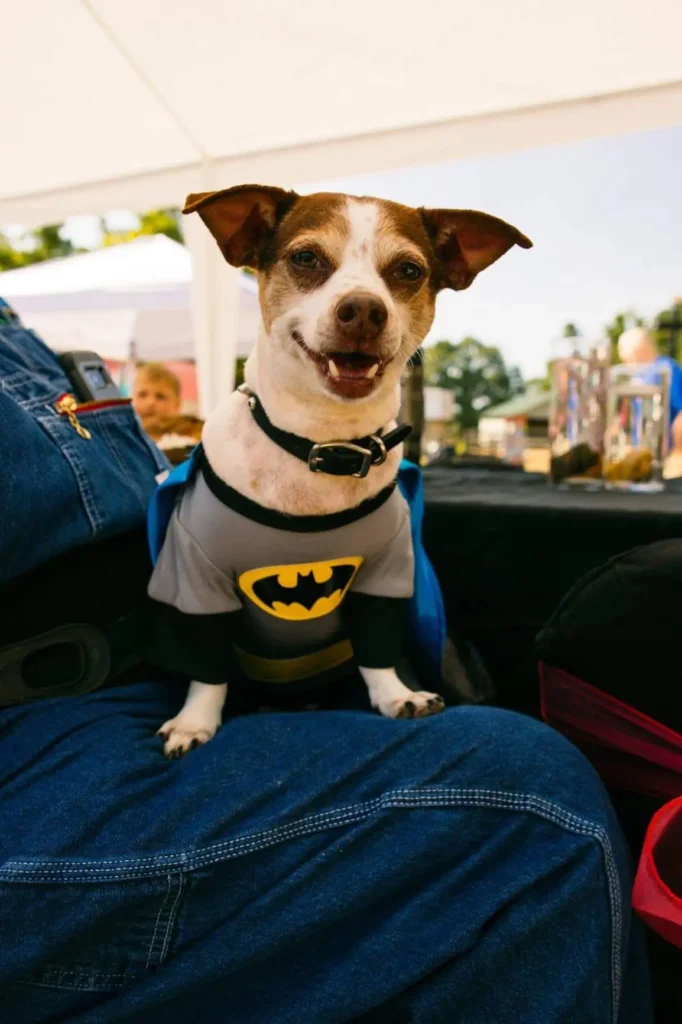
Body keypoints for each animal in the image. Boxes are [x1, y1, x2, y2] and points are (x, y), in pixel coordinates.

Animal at [148, 188, 532, 757]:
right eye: (306, 258)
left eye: (408, 270)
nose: (365, 310)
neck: (323, 445)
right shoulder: (196, 580)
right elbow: (208, 668)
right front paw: (195, 720)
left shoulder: (386, 576)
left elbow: (377, 647)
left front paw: (396, 695)